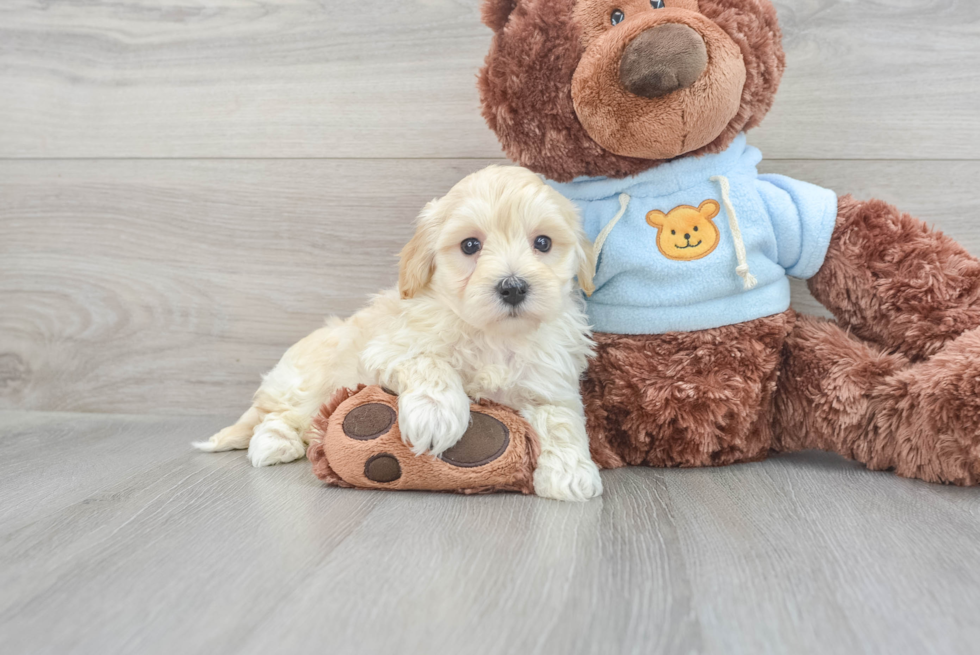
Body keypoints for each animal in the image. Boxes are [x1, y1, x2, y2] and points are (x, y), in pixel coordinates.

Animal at [194, 165, 600, 502]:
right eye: (470, 245)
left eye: (543, 243)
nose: (513, 287)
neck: (494, 335)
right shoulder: (388, 349)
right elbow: (430, 363)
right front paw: (435, 416)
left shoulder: (550, 383)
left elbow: (561, 420)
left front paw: (571, 473)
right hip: (305, 380)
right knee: (278, 414)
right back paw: (273, 443)